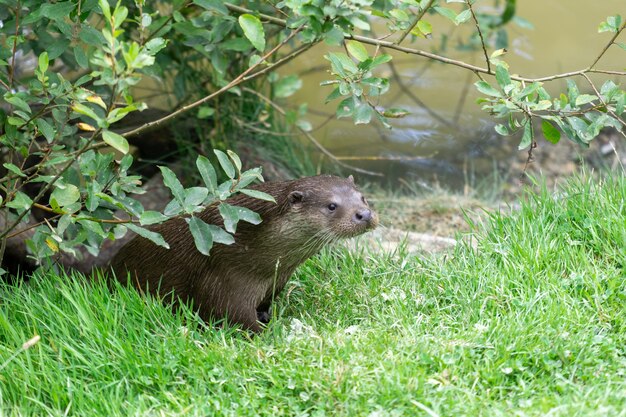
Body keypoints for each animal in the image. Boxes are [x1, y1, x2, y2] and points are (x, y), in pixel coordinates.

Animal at [109, 174, 376, 334]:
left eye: (363, 198)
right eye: (331, 206)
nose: (364, 214)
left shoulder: (276, 281)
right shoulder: (225, 282)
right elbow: (237, 320)